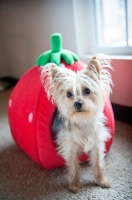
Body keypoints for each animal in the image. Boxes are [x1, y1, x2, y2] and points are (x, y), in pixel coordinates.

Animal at [41, 54, 112, 192]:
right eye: (69, 94)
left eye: (87, 91)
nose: (77, 103)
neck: (82, 120)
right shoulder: (70, 149)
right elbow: (73, 167)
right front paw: (74, 185)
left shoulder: (97, 146)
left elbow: (98, 164)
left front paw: (101, 181)